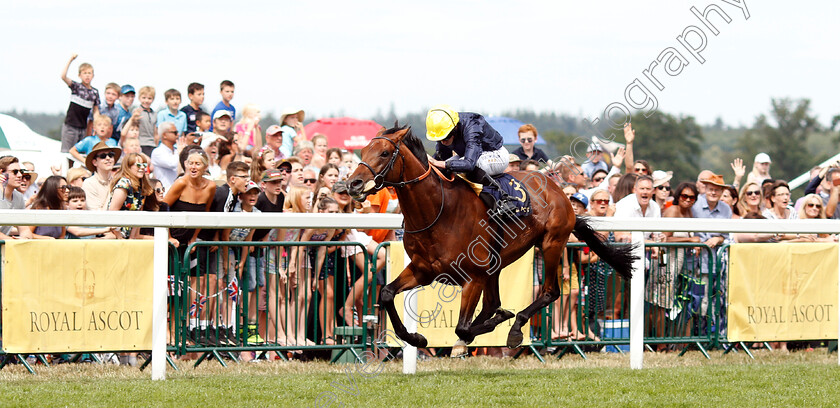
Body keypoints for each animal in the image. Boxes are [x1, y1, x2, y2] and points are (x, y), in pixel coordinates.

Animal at [346, 124, 632, 354]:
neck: (438, 211)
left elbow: (462, 328)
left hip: (551, 243)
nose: (353, 184)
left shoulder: (472, 276)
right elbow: (386, 293)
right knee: (495, 302)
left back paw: (515, 328)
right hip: (496, 264)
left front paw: (472, 336)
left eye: (384, 153)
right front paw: (415, 338)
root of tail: (557, 188)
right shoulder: (422, 270)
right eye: (363, 150)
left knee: (549, 292)